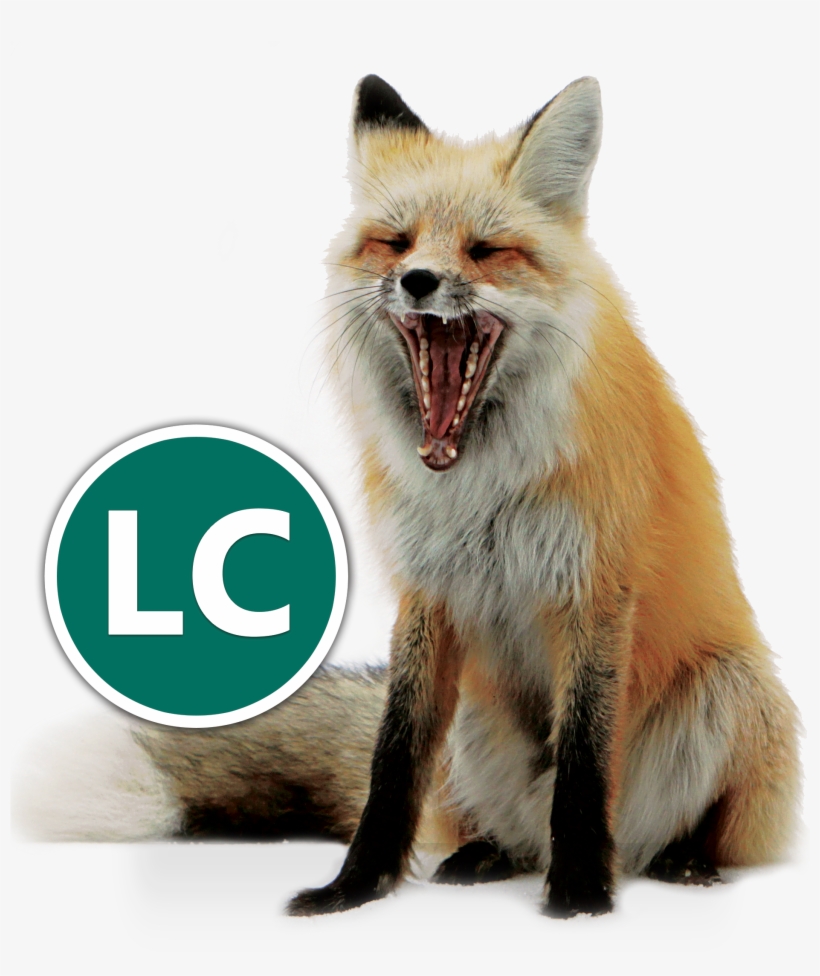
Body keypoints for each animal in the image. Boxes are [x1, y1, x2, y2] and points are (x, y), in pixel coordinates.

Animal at [18, 75, 799, 919]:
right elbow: (391, 764)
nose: (418, 281)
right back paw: (486, 855)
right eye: (395, 243)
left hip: (731, 690)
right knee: (498, 826)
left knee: (680, 829)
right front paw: (354, 888)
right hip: (474, 728)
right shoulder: (428, 592)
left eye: (485, 250)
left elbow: (586, 767)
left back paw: (678, 860)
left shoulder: (594, 589)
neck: (480, 487)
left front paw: (581, 894)